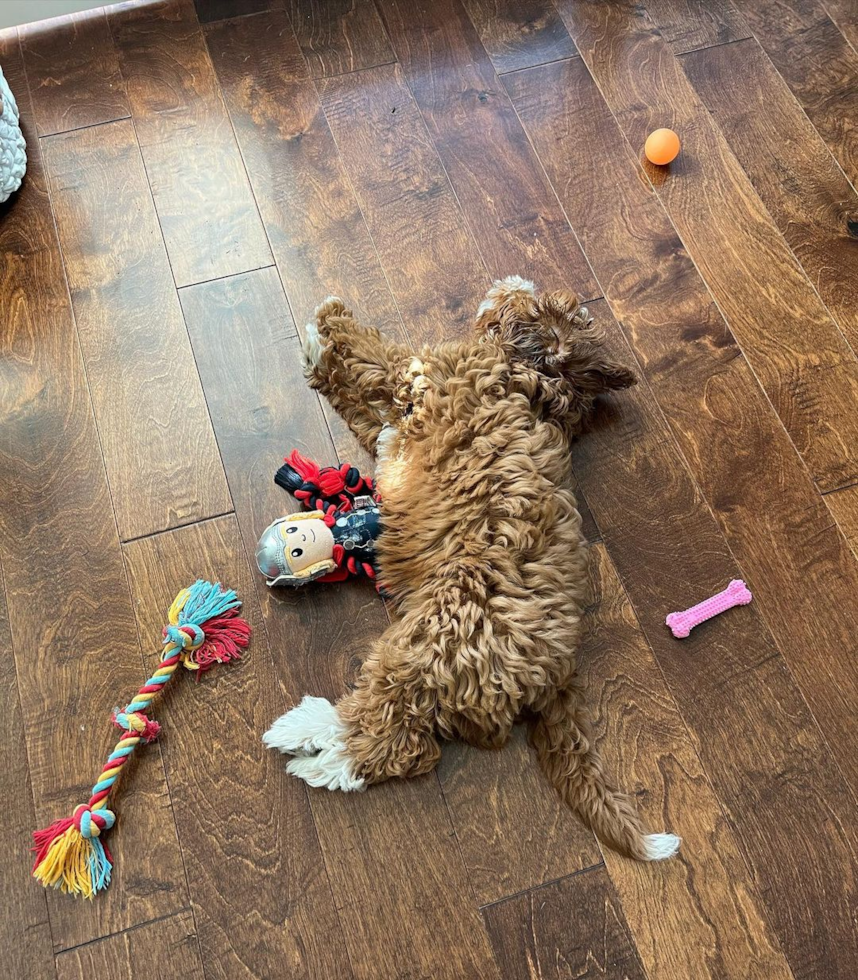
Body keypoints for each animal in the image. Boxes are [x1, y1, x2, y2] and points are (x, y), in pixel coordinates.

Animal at [264, 280, 680, 860]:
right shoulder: (393, 420)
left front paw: (326, 324)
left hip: (436, 636)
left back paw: (311, 739)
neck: (534, 382)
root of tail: (555, 671)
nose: (515, 283)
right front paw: (319, 347)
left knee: (395, 736)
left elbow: (371, 356)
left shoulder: (417, 375)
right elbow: (362, 405)